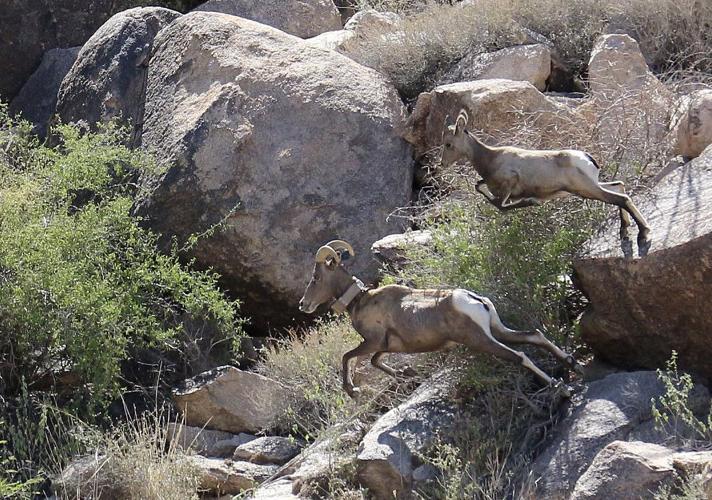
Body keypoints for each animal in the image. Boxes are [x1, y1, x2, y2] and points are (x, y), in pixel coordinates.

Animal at [298, 240, 581, 398]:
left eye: (316, 278)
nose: (303, 305)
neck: (361, 300)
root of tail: (473, 300)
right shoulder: (385, 347)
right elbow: (377, 363)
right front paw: (405, 374)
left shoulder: (373, 342)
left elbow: (347, 357)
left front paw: (352, 391)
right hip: (497, 330)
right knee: (534, 336)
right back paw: (572, 363)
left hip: (480, 340)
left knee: (520, 356)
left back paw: (561, 388)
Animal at [440, 110, 652, 257]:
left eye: (448, 144)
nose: (442, 164)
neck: (491, 158)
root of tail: (586, 158)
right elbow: (479, 186)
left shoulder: (508, 186)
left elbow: (500, 205)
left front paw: (533, 202)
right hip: (592, 186)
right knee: (619, 187)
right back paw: (624, 231)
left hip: (586, 189)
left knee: (621, 198)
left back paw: (643, 235)